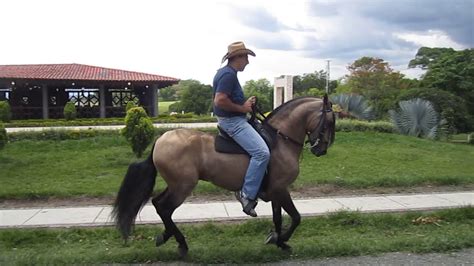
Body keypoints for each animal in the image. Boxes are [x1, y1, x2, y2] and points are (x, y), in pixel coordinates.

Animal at [112, 95, 336, 256]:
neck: (280, 140)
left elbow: (278, 218)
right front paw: (281, 240)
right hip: (183, 186)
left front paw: (277, 240)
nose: (322, 149)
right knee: (165, 208)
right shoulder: (281, 189)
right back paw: (181, 244)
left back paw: (166, 236)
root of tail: (161, 140)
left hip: (176, 184)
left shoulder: (276, 191)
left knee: (159, 204)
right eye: (329, 122)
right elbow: (296, 218)